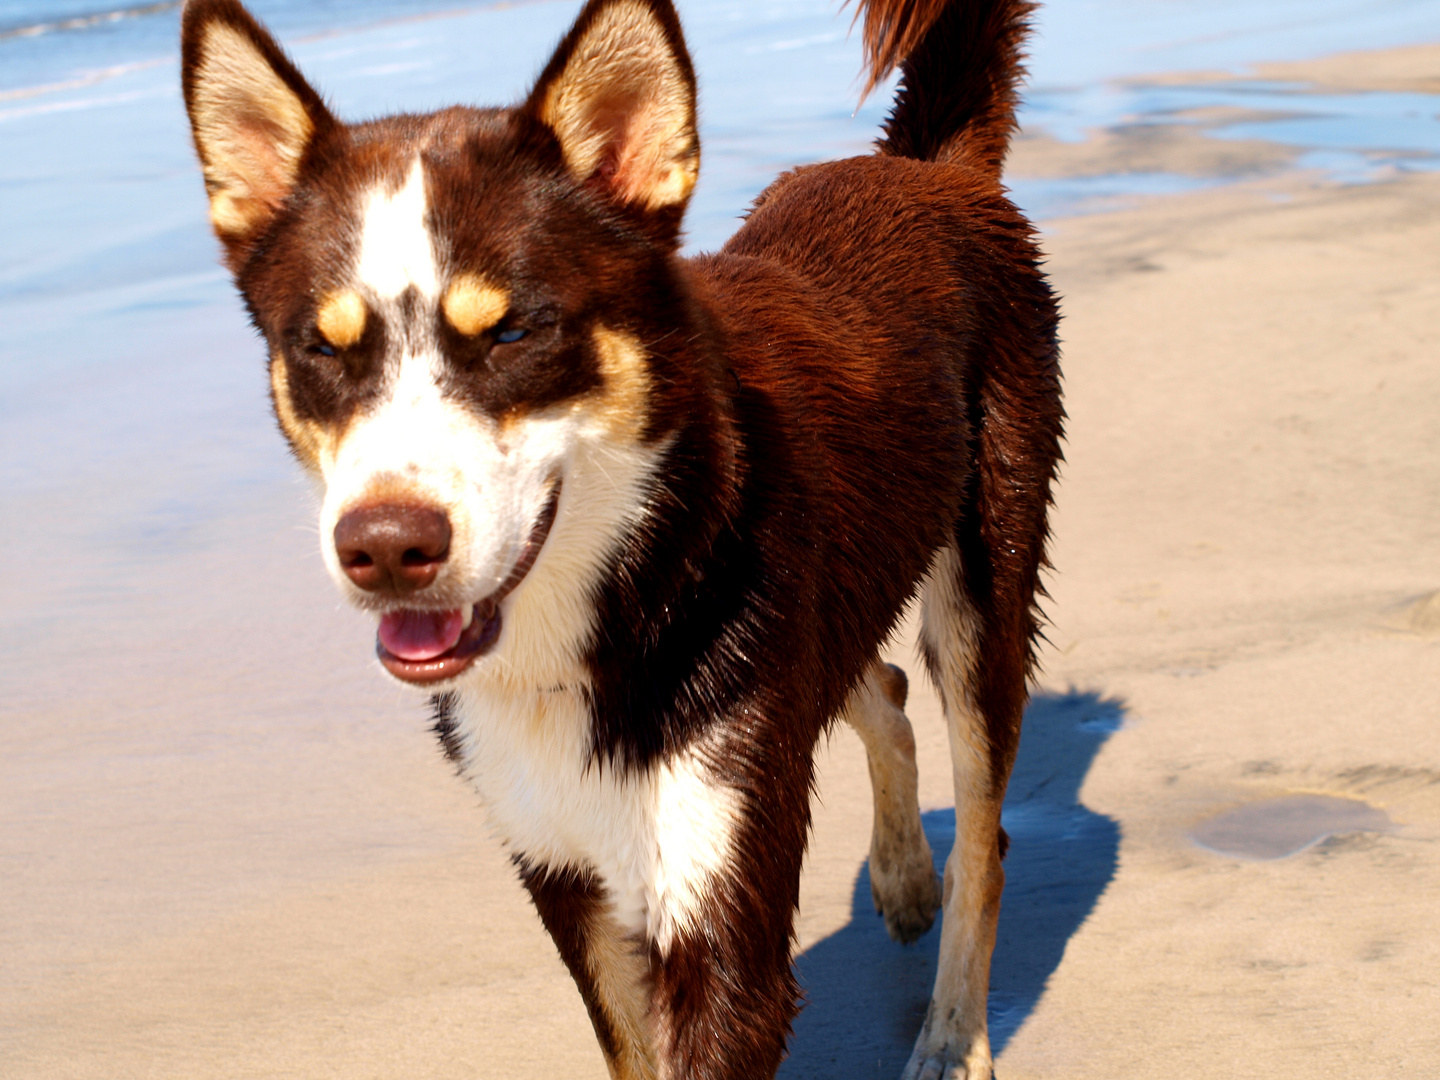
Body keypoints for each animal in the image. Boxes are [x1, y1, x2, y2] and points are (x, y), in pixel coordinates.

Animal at [177, 0, 1059, 1077]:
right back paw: (901, 878)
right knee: (881, 688)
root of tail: (927, 171)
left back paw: (952, 1028)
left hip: (980, 591)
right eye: (322, 348)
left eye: (513, 333)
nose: (385, 548)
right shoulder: (564, 876)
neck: (607, 616)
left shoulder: (720, 920)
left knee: (985, 827)